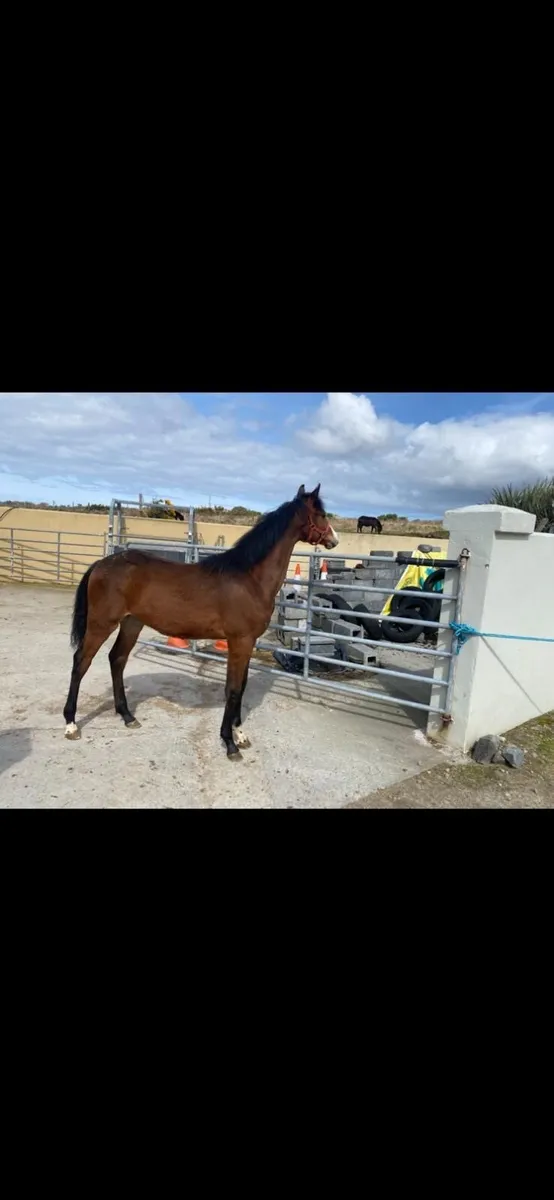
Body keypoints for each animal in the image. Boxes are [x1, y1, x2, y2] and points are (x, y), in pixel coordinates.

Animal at [63, 484, 339, 759]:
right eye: (321, 514)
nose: (334, 540)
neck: (249, 578)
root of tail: (101, 563)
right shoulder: (239, 642)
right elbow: (233, 689)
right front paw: (229, 743)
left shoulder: (248, 643)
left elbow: (242, 687)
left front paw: (240, 735)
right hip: (101, 624)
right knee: (80, 662)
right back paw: (71, 724)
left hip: (132, 623)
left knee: (117, 659)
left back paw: (127, 716)